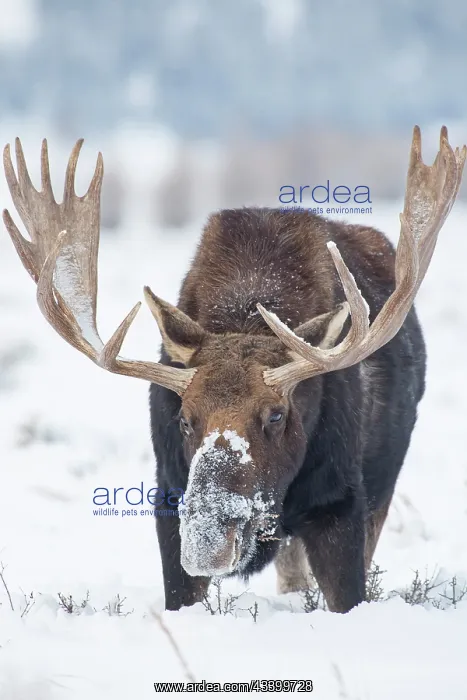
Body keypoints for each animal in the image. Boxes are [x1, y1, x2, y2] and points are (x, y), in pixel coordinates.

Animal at [2, 127, 465, 613]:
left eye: (276, 414)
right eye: (184, 419)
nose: (206, 542)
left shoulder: (341, 502)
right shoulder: (168, 500)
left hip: (382, 481)